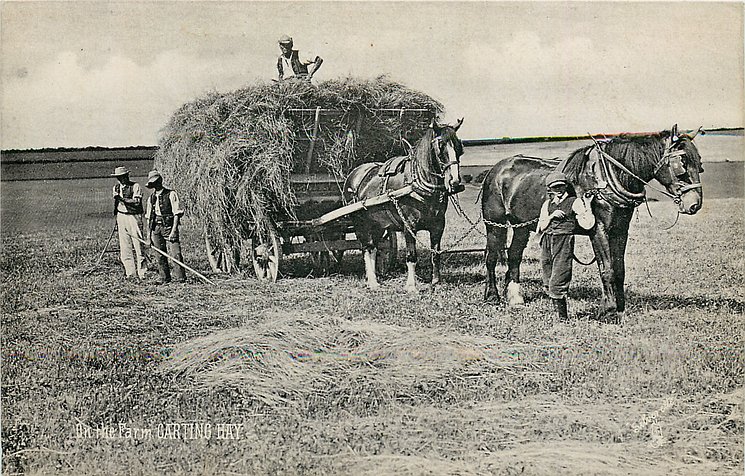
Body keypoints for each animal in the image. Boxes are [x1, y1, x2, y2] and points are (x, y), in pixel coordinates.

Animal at [343, 118, 464, 292]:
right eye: (441, 147)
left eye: (459, 147)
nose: (455, 182)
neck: (418, 183)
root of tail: (354, 174)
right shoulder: (409, 226)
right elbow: (411, 256)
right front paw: (411, 286)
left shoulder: (438, 226)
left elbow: (436, 254)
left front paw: (436, 282)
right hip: (361, 223)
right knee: (366, 248)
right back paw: (372, 281)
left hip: (377, 225)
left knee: (373, 248)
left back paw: (373, 279)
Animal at [481, 125, 704, 322]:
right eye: (682, 163)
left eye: (699, 163)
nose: (695, 204)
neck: (606, 178)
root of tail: (496, 169)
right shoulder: (599, 230)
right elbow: (607, 269)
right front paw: (608, 311)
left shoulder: (620, 230)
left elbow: (619, 269)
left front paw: (620, 307)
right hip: (495, 224)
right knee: (491, 258)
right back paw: (492, 296)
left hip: (522, 226)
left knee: (514, 256)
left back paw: (514, 297)